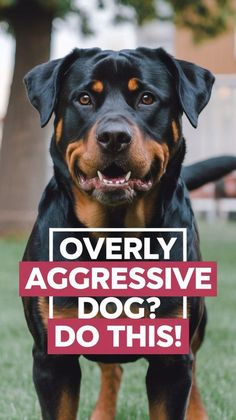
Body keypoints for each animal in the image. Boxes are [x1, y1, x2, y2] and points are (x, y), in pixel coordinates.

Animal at [22, 47, 216, 418]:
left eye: (147, 98)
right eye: (84, 98)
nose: (114, 136)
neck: (115, 236)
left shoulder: (172, 359)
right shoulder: (52, 359)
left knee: (197, 367)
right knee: (112, 369)